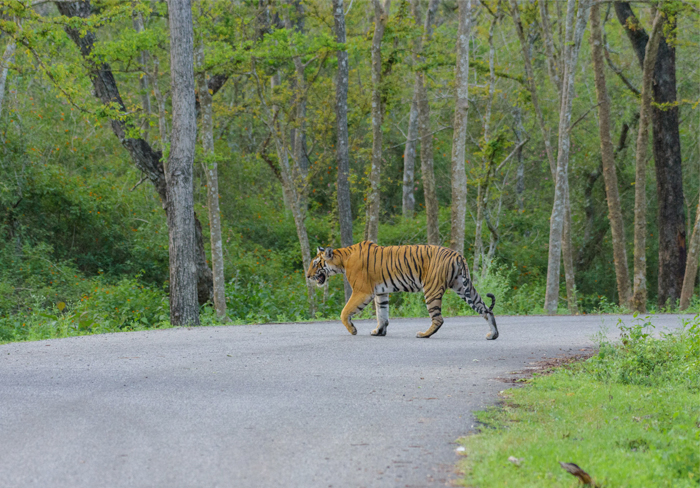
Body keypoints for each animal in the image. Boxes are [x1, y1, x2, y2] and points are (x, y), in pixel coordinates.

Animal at [306, 241, 499, 340]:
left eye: (315, 263)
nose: (307, 276)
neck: (342, 260)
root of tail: (458, 255)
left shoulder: (362, 291)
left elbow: (345, 312)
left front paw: (353, 330)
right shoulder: (381, 292)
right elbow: (382, 314)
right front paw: (379, 331)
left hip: (432, 290)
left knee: (438, 318)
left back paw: (423, 334)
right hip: (463, 287)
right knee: (486, 310)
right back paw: (493, 335)